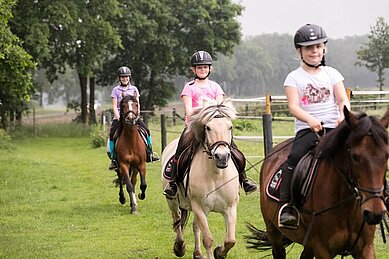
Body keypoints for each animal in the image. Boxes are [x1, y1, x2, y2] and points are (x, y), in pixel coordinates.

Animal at [161, 100, 239, 259]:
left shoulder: (230, 208)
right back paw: (179, 247)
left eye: (230, 127)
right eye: (208, 127)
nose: (222, 157)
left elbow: (230, 240)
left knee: (195, 227)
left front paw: (219, 253)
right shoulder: (200, 208)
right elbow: (208, 239)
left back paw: (197, 253)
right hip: (173, 202)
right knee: (177, 220)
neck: (216, 175)